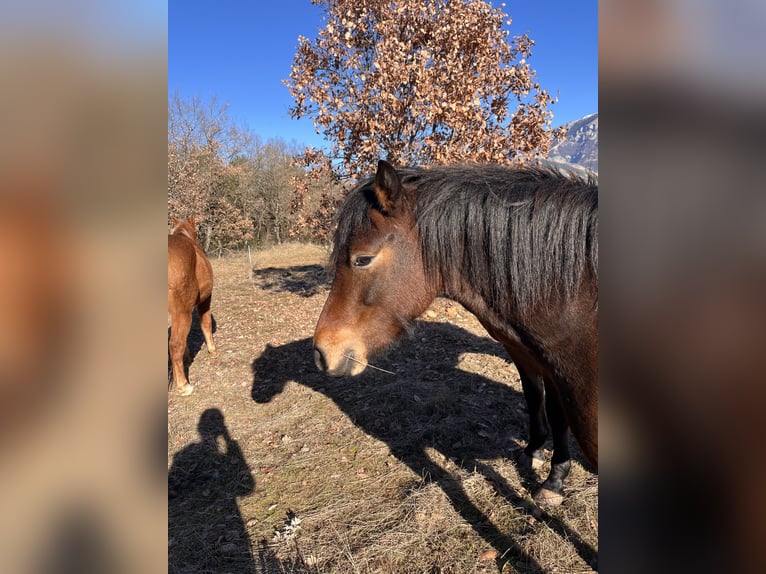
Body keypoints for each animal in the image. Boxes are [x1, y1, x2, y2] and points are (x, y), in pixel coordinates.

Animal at [168, 216, 218, 395]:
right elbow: (206, 324)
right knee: (175, 344)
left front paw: (187, 358)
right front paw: (213, 350)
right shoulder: (205, 300)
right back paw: (184, 386)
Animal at [313, 160, 597, 504]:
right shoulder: (524, 350)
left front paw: (553, 481)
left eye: (362, 259)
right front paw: (536, 454)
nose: (322, 353)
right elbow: (535, 396)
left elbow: (556, 412)